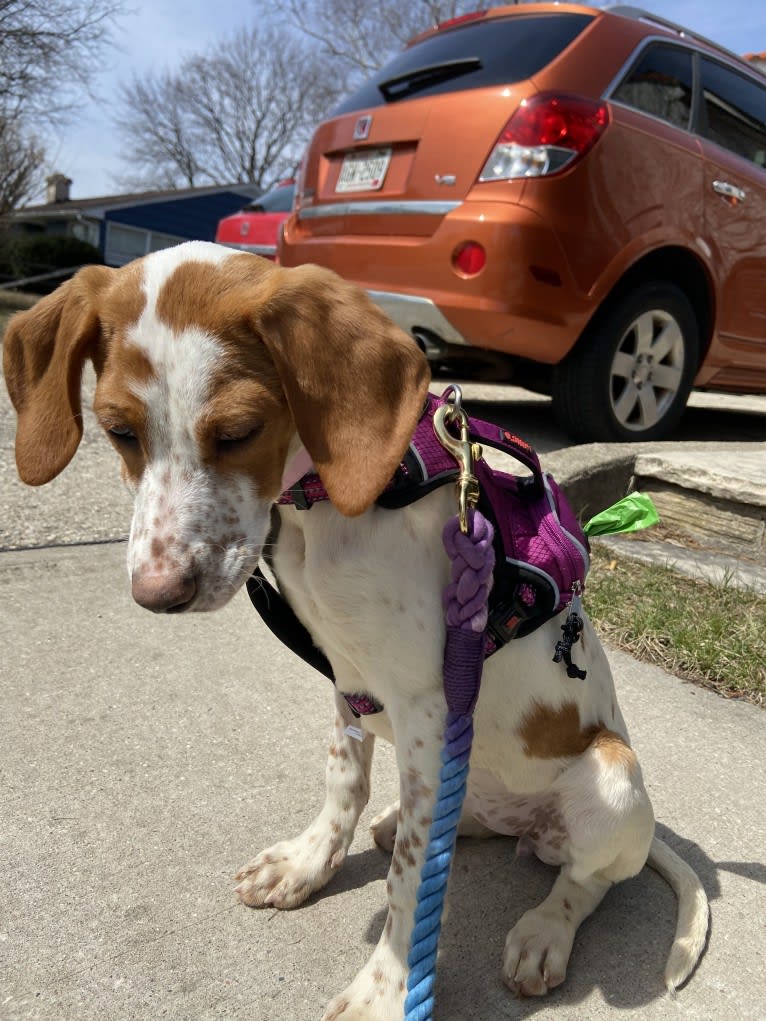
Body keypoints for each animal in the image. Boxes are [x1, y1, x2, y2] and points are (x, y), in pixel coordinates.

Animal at [3, 242, 706, 1016]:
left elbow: (413, 877)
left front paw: (387, 988)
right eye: (119, 431)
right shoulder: (349, 677)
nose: (158, 596)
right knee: (461, 820)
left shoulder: (430, 707)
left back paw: (543, 931)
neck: (333, 508)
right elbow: (344, 782)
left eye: (239, 432)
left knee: (586, 878)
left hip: (612, 779)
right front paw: (308, 864)